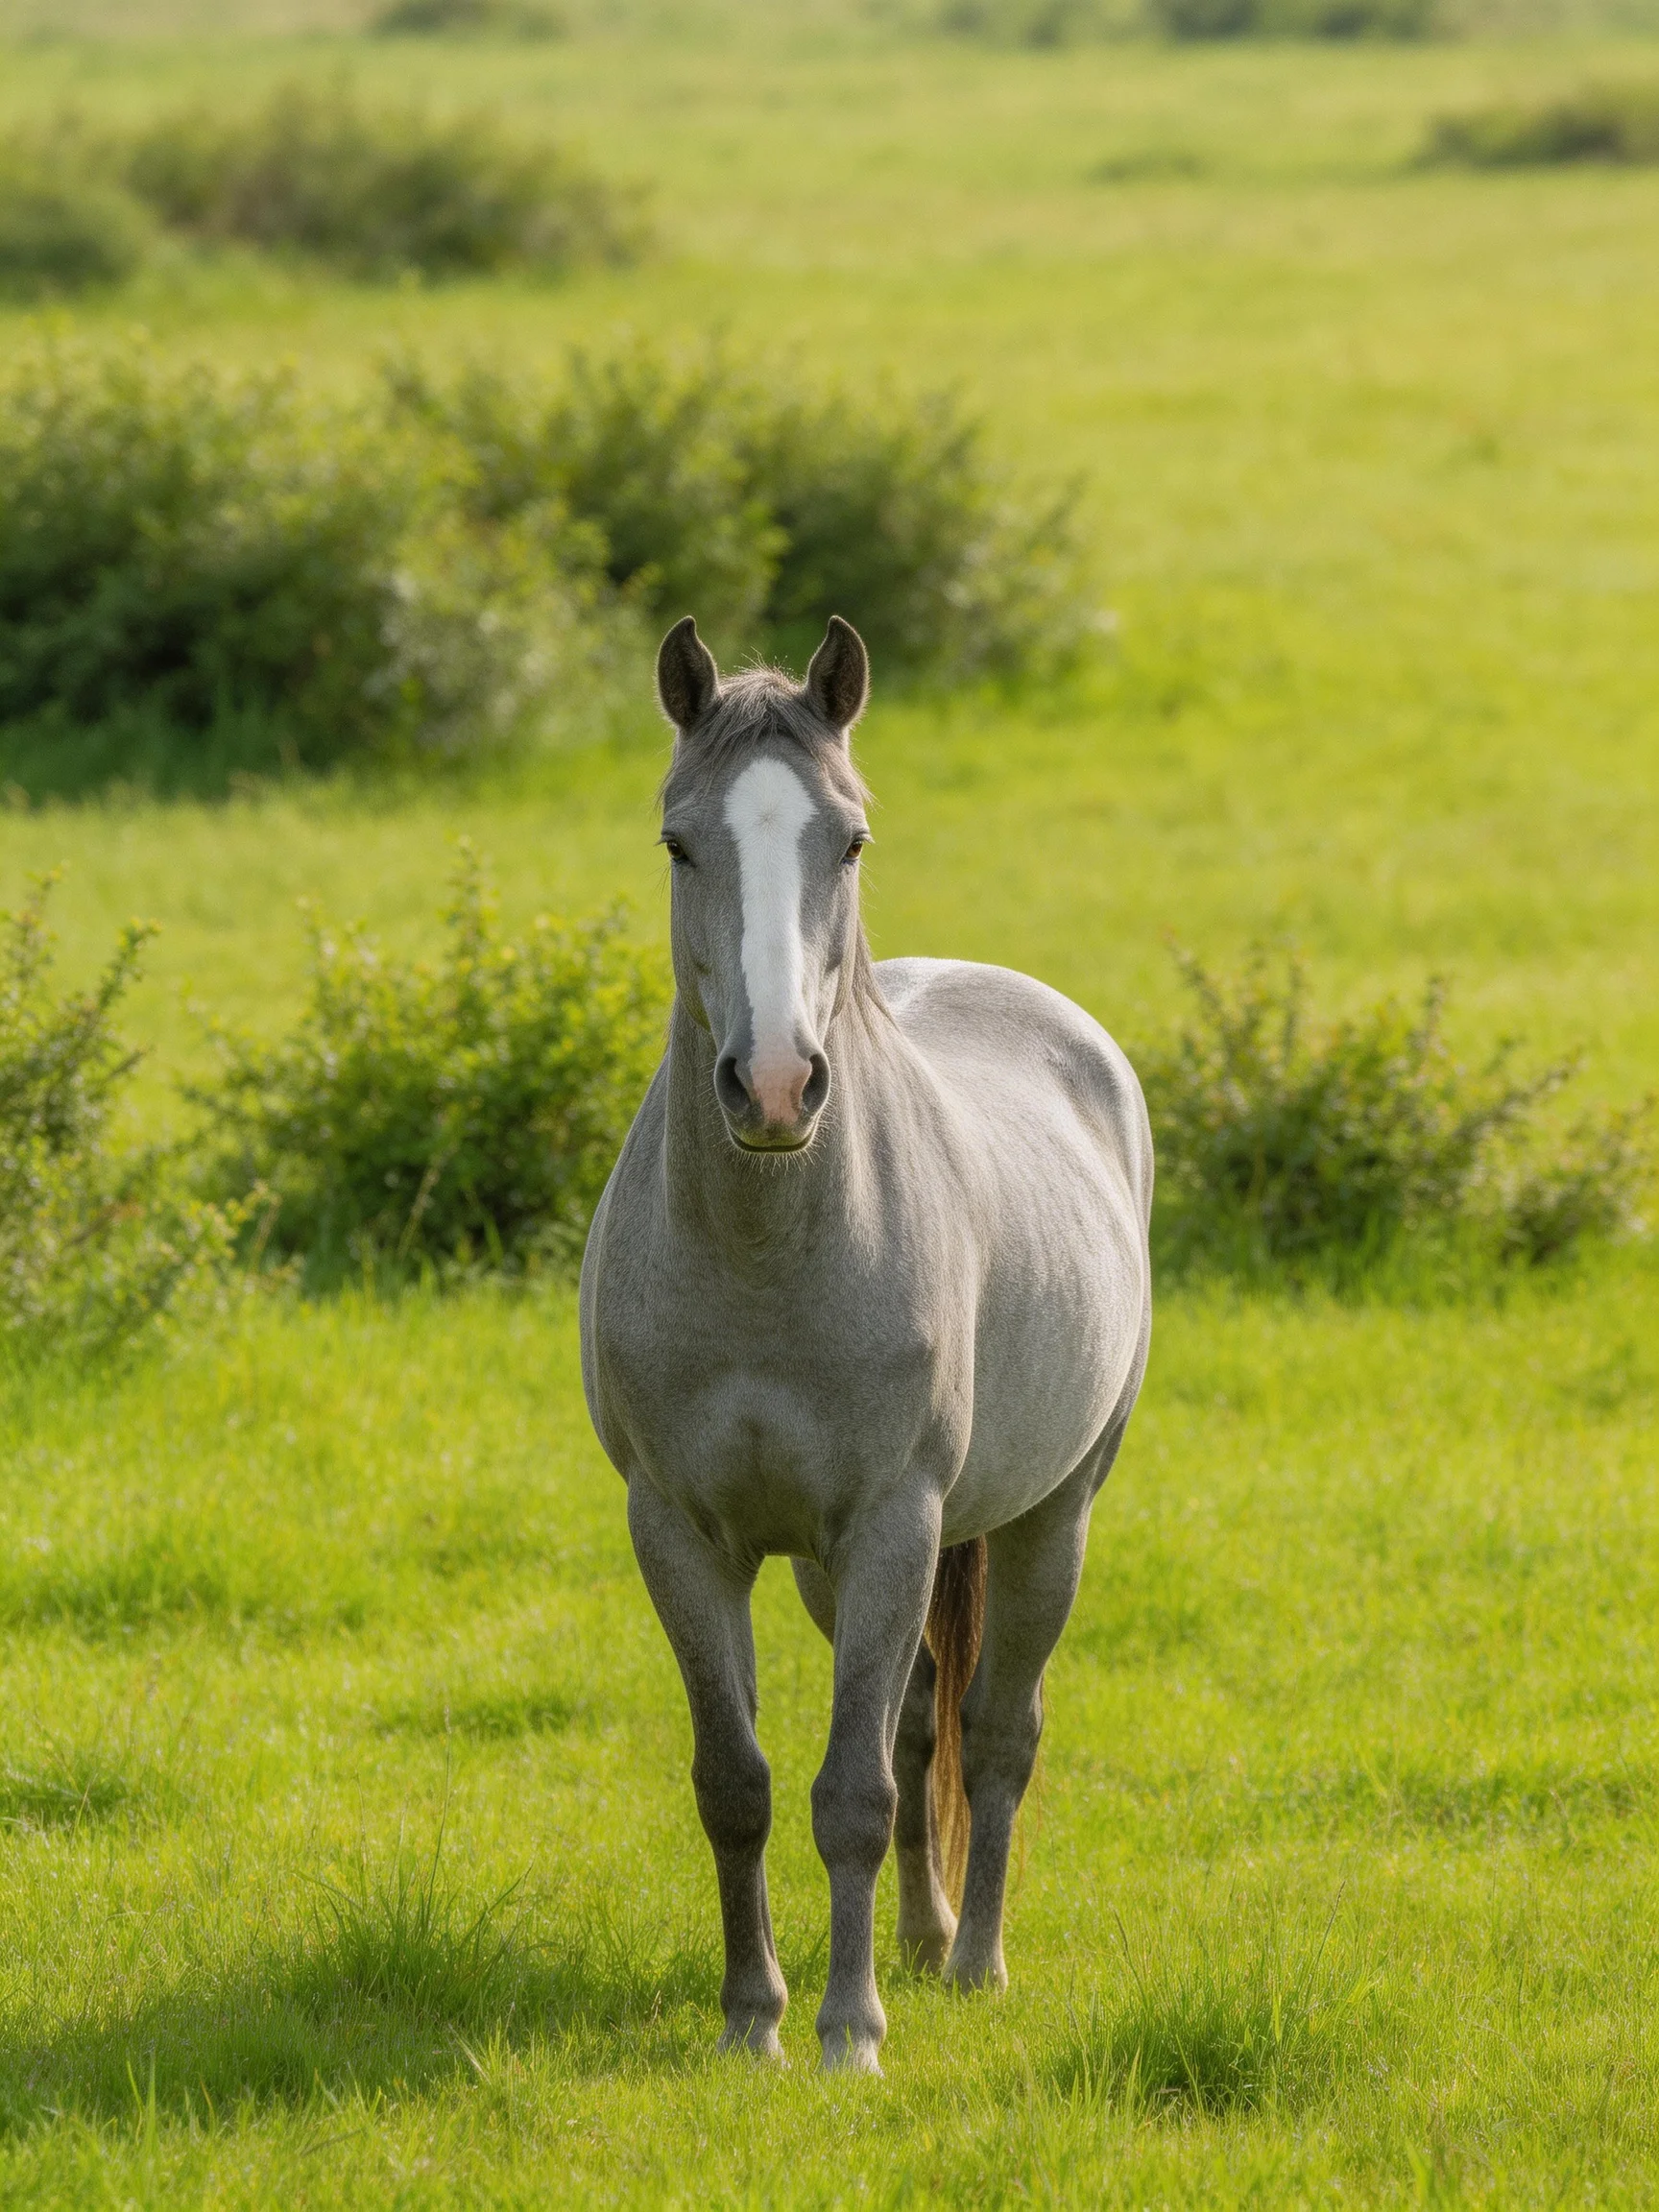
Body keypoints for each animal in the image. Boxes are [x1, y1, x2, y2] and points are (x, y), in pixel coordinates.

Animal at [579, 614, 1153, 2073]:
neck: (768, 1254)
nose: (777, 1085)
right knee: (918, 1719)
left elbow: (853, 1790)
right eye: (679, 842)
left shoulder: (898, 1521)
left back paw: (978, 1963)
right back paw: (927, 1936)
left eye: (847, 840)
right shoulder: (684, 1534)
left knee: (995, 1733)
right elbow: (740, 1782)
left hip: (1050, 1516)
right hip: (835, 1571)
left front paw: (848, 2034)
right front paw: (753, 2018)